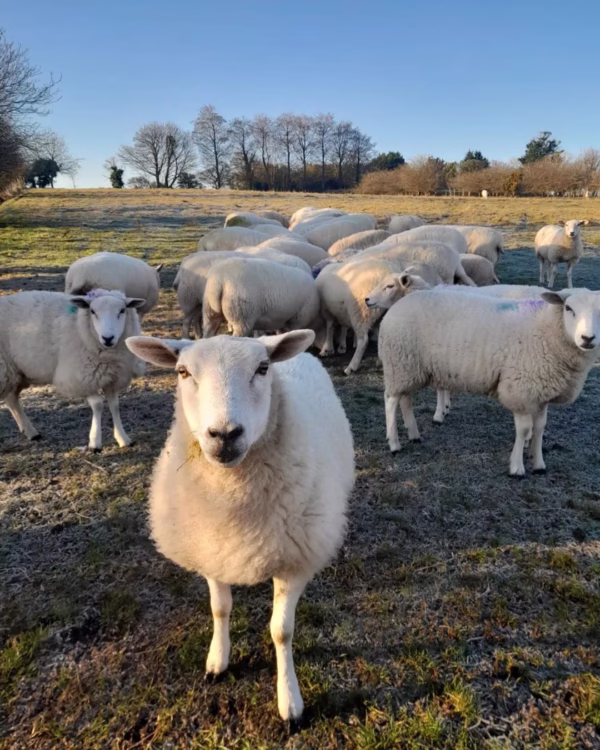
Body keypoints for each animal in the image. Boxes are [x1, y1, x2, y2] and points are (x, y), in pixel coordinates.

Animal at [0, 289, 144, 450]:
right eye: (92, 311)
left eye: (122, 310)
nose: (108, 338)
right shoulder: (80, 379)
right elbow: (98, 405)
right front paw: (95, 443)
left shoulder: (111, 378)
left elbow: (115, 406)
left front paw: (123, 439)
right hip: (5, 370)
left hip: (15, 373)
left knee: (11, 399)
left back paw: (31, 432)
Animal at [125, 330, 354, 721]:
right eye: (183, 372)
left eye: (262, 369)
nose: (225, 434)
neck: (233, 504)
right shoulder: (212, 549)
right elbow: (220, 608)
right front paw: (218, 661)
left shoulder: (293, 560)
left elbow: (281, 631)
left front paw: (289, 700)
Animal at [378, 287, 600, 475]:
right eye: (568, 308)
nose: (587, 338)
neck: (545, 328)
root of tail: (396, 306)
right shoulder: (520, 390)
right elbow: (524, 429)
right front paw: (517, 468)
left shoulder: (541, 393)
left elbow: (539, 428)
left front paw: (538, 464)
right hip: (398, 362)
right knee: (390, 401)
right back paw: (394, 444)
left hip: (410, 369)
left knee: (406, 399)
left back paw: (414, 434)